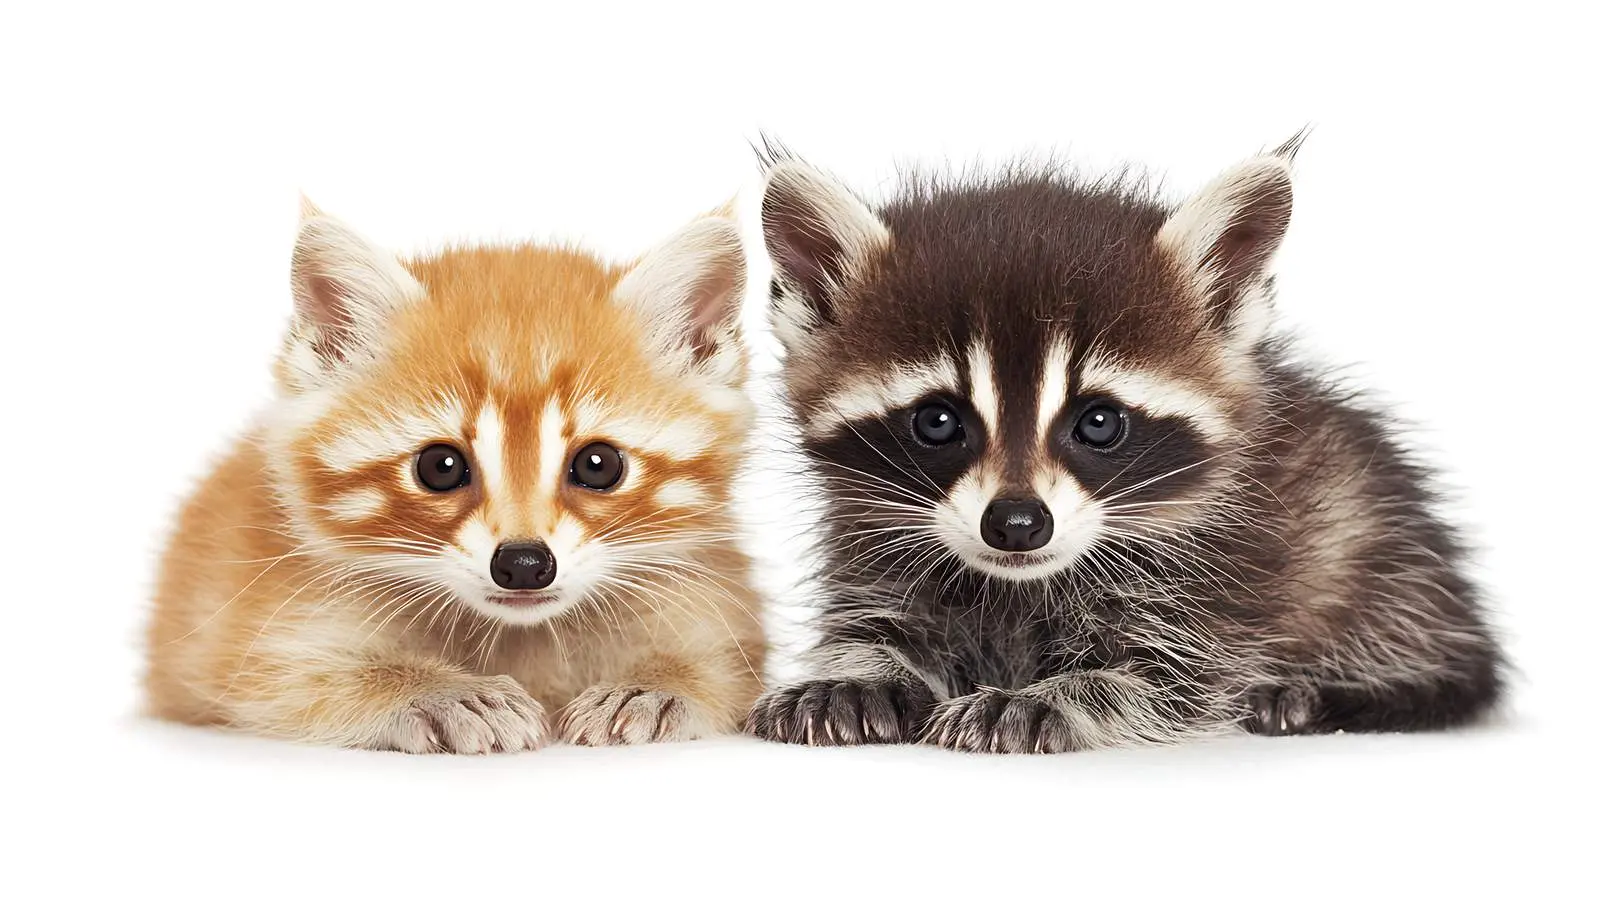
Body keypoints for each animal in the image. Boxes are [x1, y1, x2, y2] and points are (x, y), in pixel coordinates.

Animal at [144, 200, 765, 752]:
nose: (524, 564)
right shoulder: (251, 648)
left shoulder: (724, 618)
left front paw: (651, 688)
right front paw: (442, 693)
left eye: (599, 464)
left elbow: (718, 668)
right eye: (440, 467)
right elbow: (296, 680)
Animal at [745, 143, 1503, 752]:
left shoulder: (1222, 582)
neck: (1019, 585)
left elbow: (1168, 679)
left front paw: (1051, 697)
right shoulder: (873, 551)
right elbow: (875, 624)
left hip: (1377, 549)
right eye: (936, 421)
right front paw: (855, 672)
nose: (1016, 522)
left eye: (1100, 422)